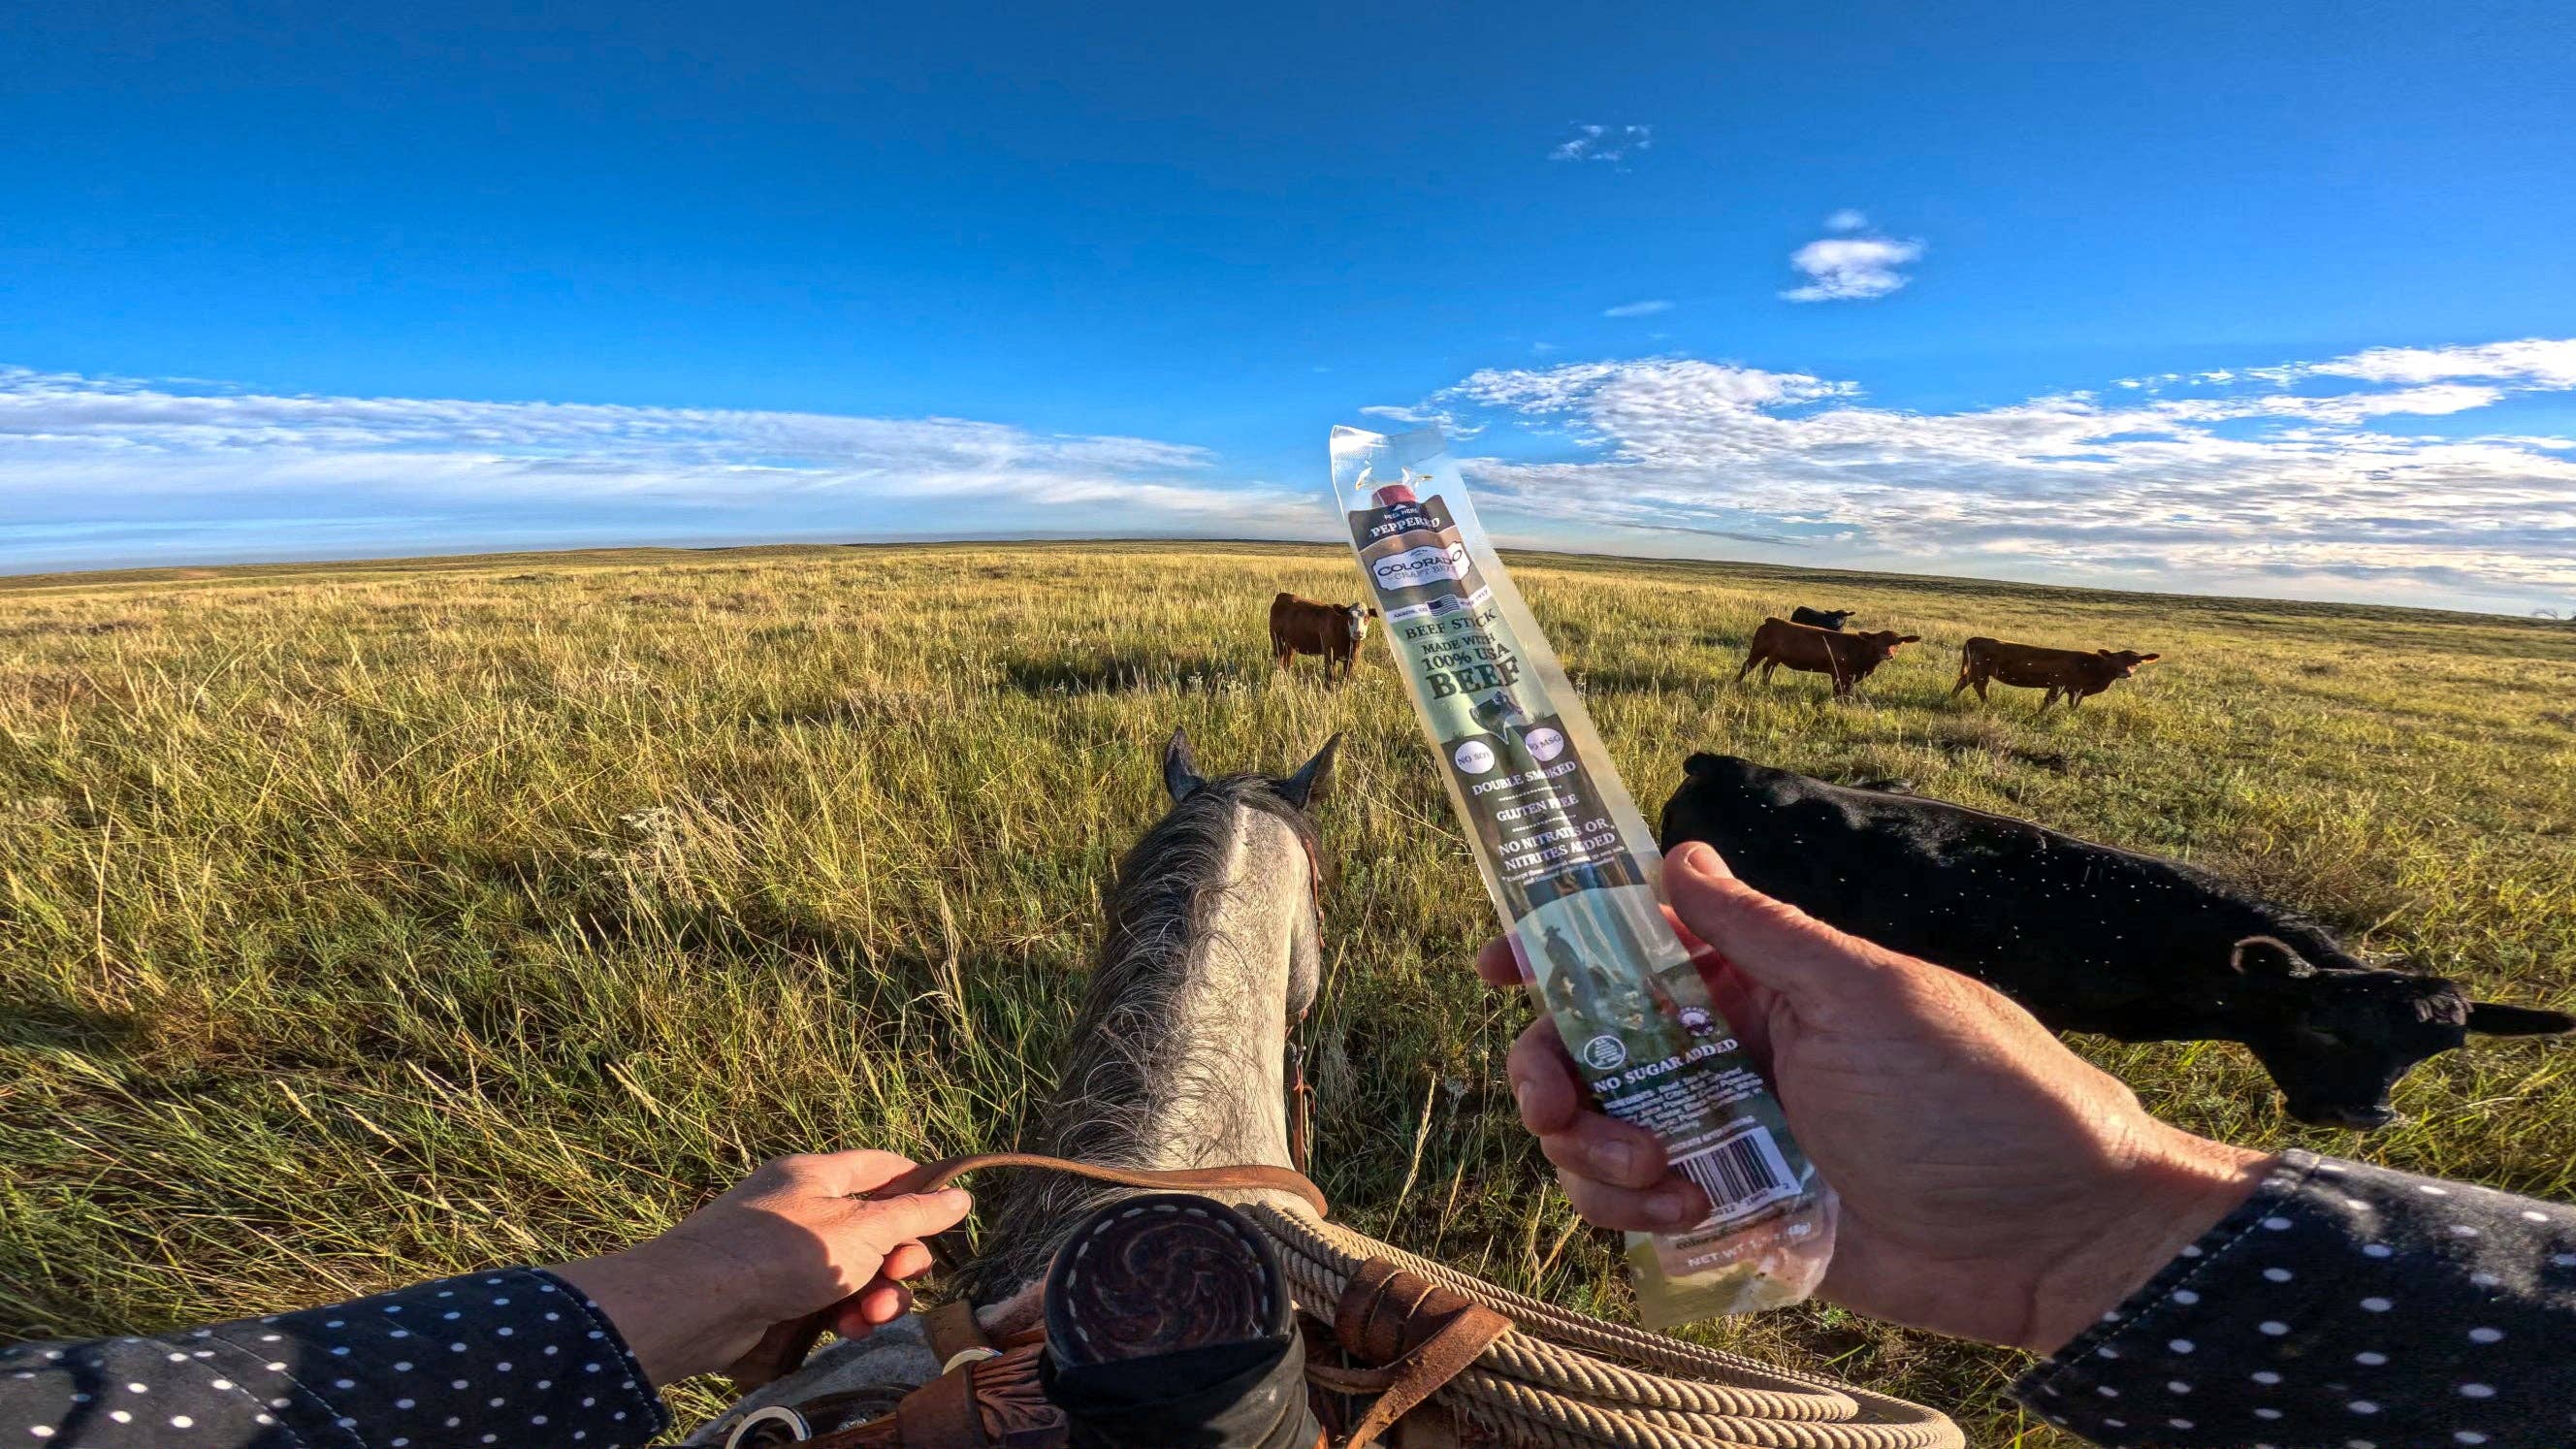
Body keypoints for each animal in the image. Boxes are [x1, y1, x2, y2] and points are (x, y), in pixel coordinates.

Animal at [1737, 617, 1919, 699]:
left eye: (1897, 643)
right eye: (1878, 641)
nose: (1888, 654)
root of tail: (1770, 621)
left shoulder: (1851, 677)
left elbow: (1847, 692)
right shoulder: (1838, 672)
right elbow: (1838, 691)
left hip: (1775, 657)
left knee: (1767, 667)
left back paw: (1766, 685)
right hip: (1758, 650)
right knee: (1747, 666)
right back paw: (1736, 684)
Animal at [1955, 636, 2160, 711]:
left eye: (2137, 662)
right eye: (2116, 659)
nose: (2126, 673)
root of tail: (1976, 638)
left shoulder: (2076, 690)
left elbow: (2073, 705)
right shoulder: (2059, 684)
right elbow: (2050, 701)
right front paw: (2040, 715)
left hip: (1975, 670)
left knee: (1963, 682)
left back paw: (1952, 698)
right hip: (1981, 671)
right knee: (1980, 686)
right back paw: (1988, 705)